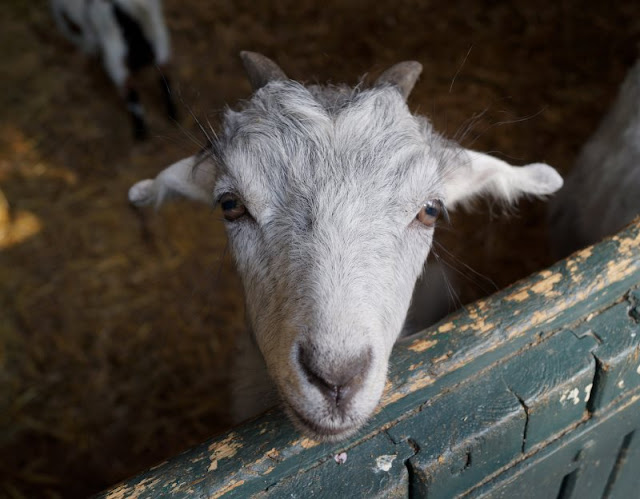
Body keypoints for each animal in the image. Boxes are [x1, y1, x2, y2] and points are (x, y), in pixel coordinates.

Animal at [50, 0, 175, 139]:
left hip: (116, 62)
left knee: (131, 93)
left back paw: (140, 132)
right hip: (161, 46)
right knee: (165, 81)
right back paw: (172, 115)